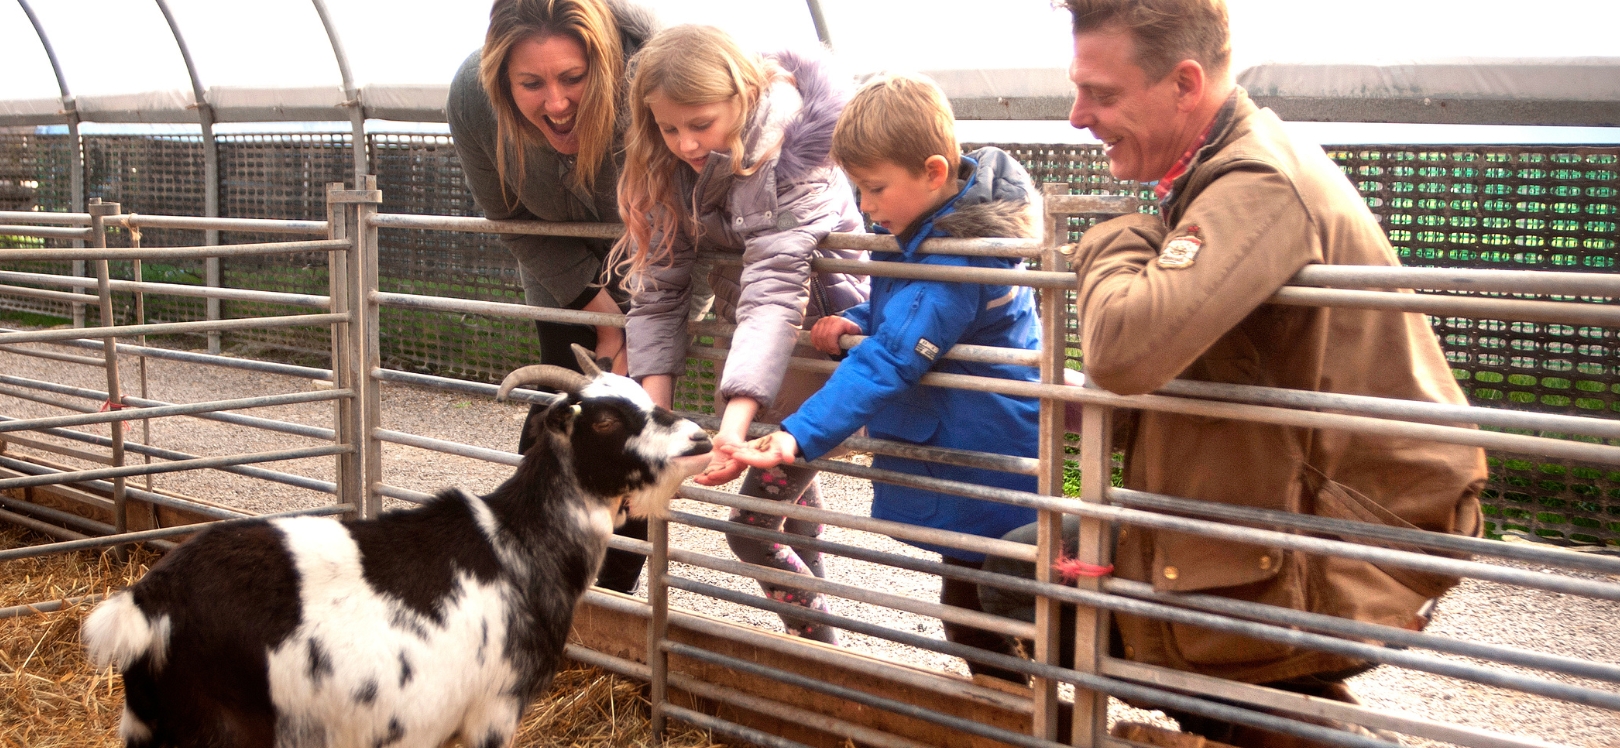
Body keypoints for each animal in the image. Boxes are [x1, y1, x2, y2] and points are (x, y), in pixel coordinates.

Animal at [78, 349, 706, 748]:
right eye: (603, 419)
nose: (699, 439)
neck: (518, 541)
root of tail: (148, 605)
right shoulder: (493, 709)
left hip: (151, 727)